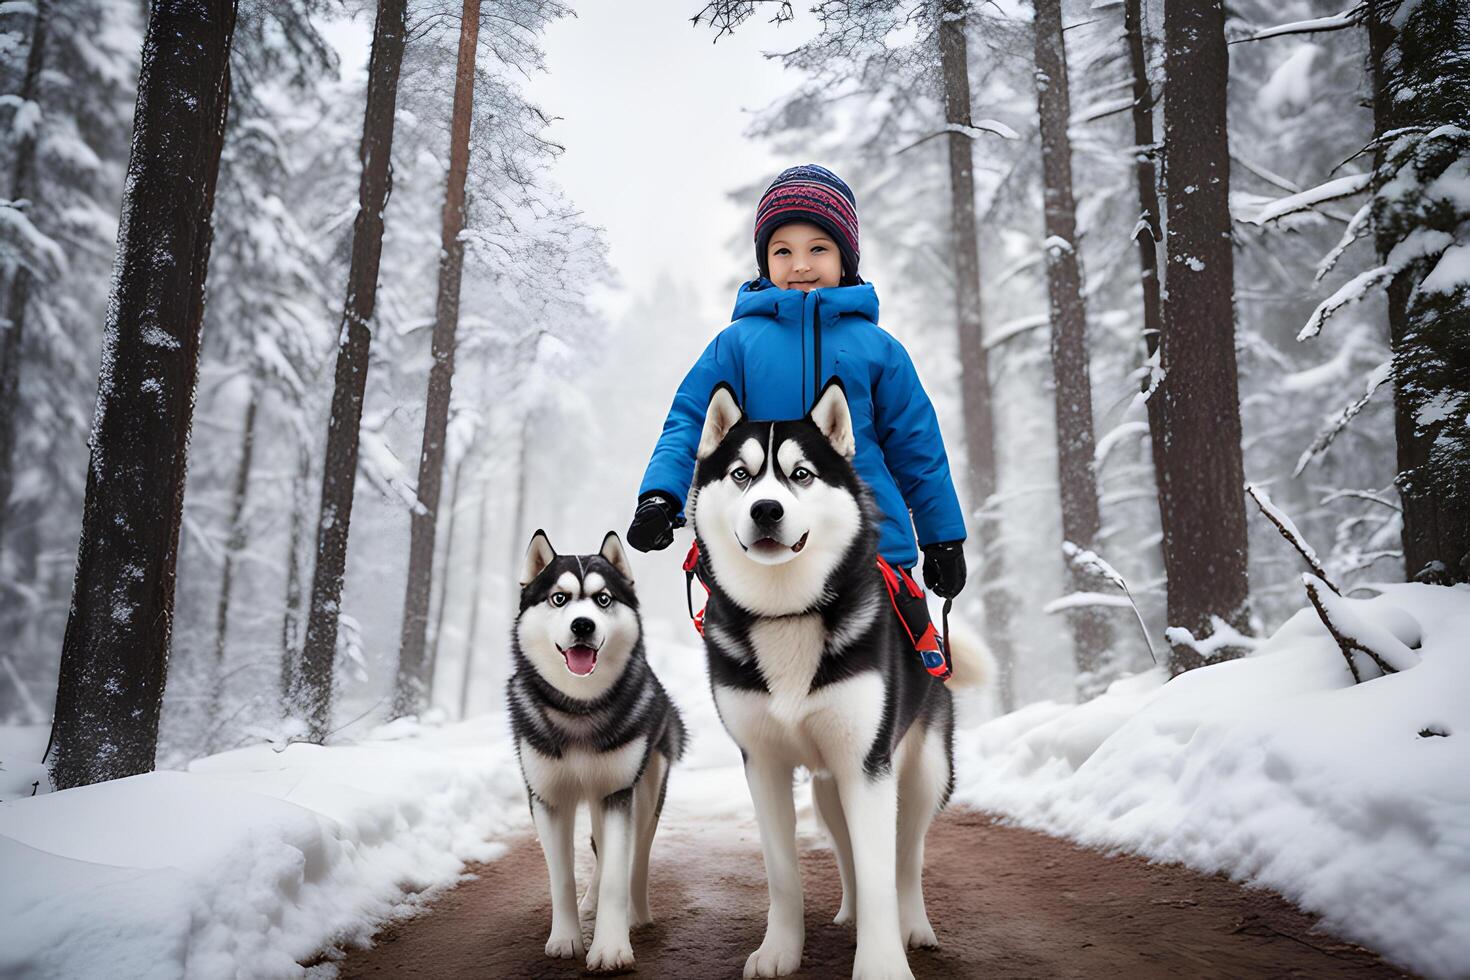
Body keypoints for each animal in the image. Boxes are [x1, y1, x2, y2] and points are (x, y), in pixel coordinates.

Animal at [508, 531, 685, 975]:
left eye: (603, 599)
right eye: (559, 598)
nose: (582, 625)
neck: (579, 707)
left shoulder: (618, 793)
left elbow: (618, 875)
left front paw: (611, 948)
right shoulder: (547, 798)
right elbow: (562, 875)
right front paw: (565, 939)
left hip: (646, 791)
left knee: (636, 855)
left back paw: (637, 914)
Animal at [687, 382, 987, 980]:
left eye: (800, 474)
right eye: (740, 474)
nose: (767, 509)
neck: (786, 613)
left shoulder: (868, 765)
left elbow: (880, 872)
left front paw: (883, 965)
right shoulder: (764, 764)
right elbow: (784, 874)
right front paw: (779, 952)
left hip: (922, 773)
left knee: (907, 856)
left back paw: (913, 925)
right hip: (830, 784)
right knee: (846, 845)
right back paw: (849, 914)